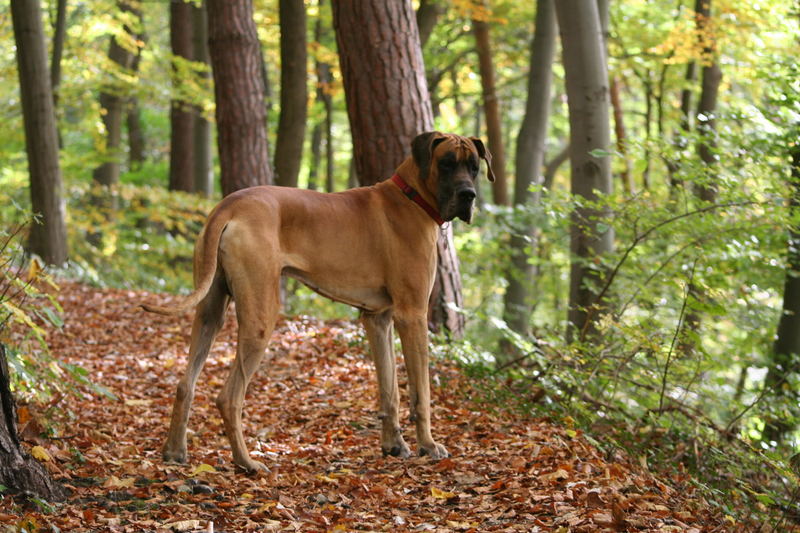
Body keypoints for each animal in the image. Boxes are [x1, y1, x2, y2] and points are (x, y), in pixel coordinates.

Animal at [144, 132, 494, 470]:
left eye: (474, 166)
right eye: (447, 163)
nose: (468, 195)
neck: (413, 196)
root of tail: (229, 205)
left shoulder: (378, 318)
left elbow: (390, 389)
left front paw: (394, 445)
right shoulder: (413, 315)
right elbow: (421, 393)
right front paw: (428, 445)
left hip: (210, 310)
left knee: (185, 383)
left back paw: (175, 451)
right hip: (260, 315)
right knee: (229, 397)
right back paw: (246, 462)